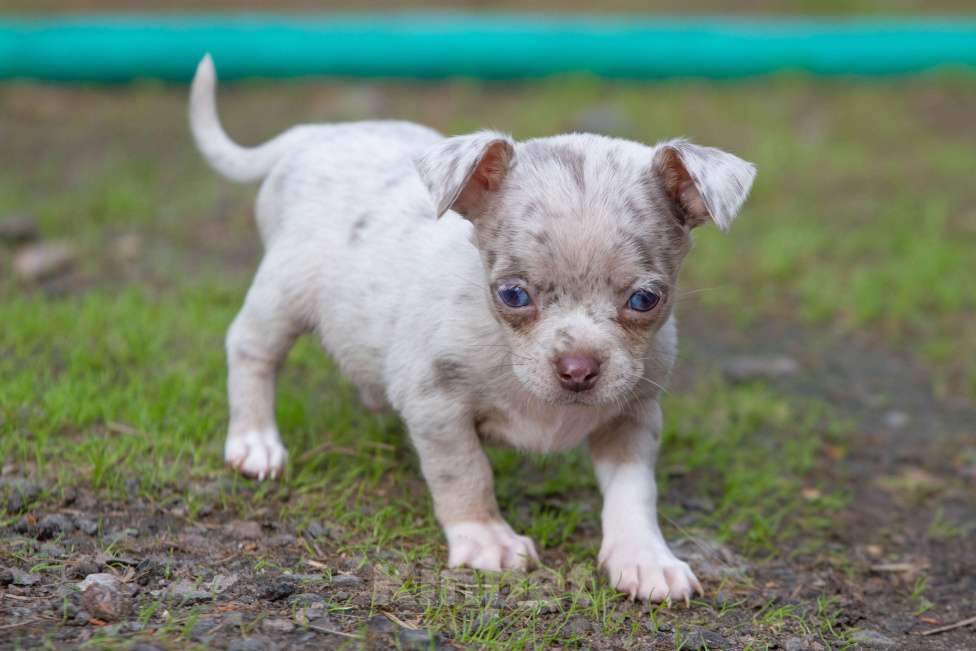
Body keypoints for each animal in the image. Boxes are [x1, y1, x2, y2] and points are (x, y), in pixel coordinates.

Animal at [189, 57, 756, 608]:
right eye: (512, 295)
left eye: (645, 299)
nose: (577, 370)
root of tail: (315, 134)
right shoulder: (438, 404)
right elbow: (465, 473)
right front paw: (487, 538)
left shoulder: (633, 416)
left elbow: (634, 492)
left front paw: (645, 558)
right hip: (282, 293)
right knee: (251, 350)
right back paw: (255, 443)